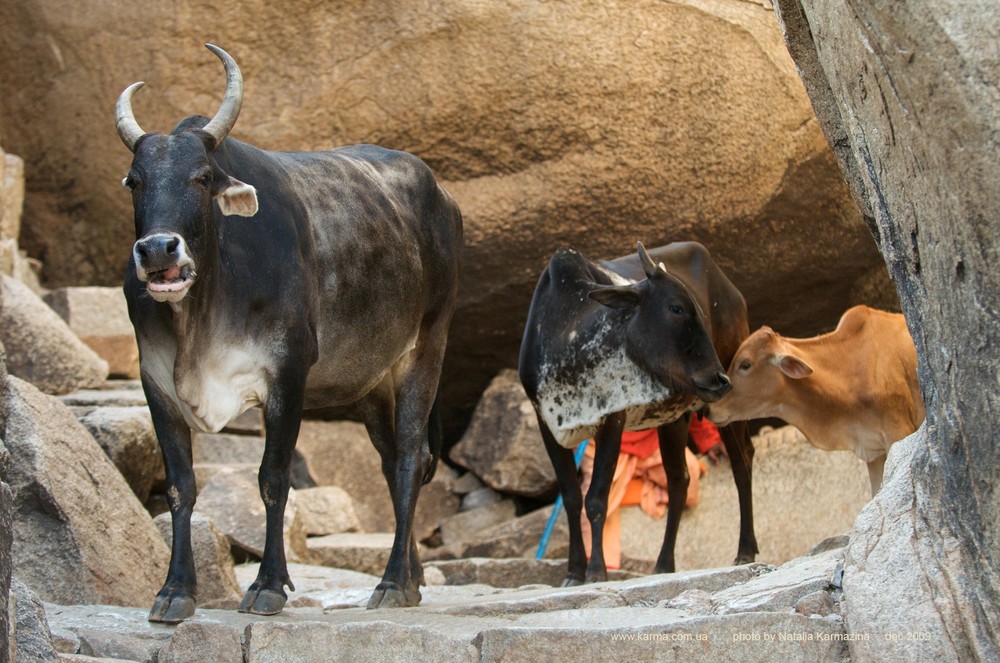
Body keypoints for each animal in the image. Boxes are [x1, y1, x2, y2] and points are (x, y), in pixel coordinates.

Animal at [116, 45, 464, 624]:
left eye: (203, 177)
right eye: (135, 180)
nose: (158, 250)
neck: (202, 315)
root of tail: (444, 199)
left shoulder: (287, 374)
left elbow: (273, 479)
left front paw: (268, 586)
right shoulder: (156, 382)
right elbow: (180, 487)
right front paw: (174, 591)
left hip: (426, 349)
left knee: (411, 459)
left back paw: (393, 581)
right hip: (372, 383)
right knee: (392, 463)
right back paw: (412, 577)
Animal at [520, 241, 752, 584]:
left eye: (698, 309)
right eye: (676, 308)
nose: (720, 380)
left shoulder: (611, 419)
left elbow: (596, 499)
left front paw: (596, 571)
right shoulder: (547, 423)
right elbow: (572, 498)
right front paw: (574, 570)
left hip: (729, 411)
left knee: (742, 464)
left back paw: (746, 550)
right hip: (673, 420)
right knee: (678, 481)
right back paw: (664, 564)